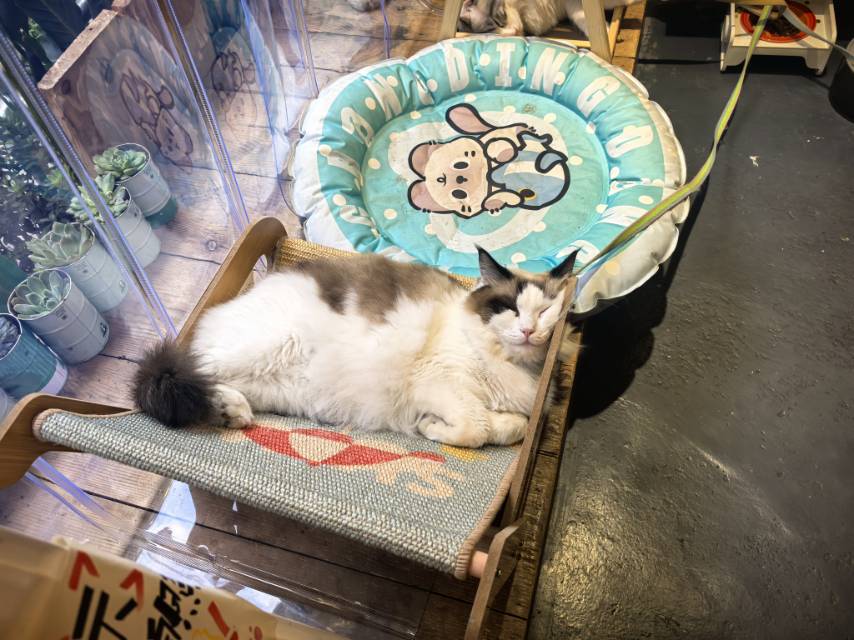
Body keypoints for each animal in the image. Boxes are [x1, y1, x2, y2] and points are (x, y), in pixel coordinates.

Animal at [135, 248, 578, 448]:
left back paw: (231, 411)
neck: (513, 365)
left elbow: (509, 428)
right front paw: (431, 428)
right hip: (267, 345)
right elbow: (476, 428)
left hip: (275, 386)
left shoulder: (514, 409)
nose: (528, 330)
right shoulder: (438, 382)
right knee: (182, 374)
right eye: (510, 308)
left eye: (545, 310)